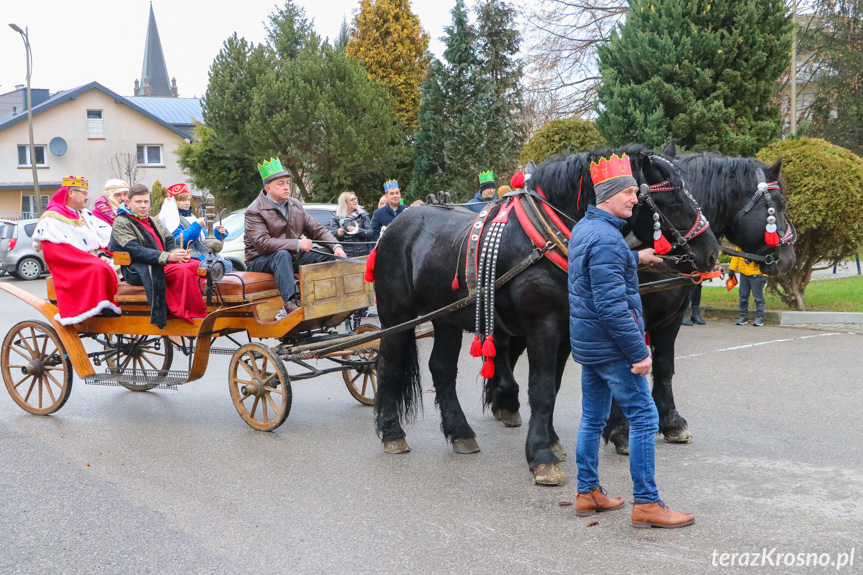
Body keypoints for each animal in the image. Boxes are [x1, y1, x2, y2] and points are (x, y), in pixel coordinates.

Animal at [374, 145, 720, 486]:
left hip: (447, 319)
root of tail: (398, 223)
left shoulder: (568, 329)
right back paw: (392, 433)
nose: (712, 253)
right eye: (672, 198)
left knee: (442, 368)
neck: (547, 238)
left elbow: (554, 386)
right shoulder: (544, 327)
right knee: (389, 366)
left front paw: (552, 442)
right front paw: (542, 457)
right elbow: (540, 390)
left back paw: (460, 432)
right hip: (396, 316)